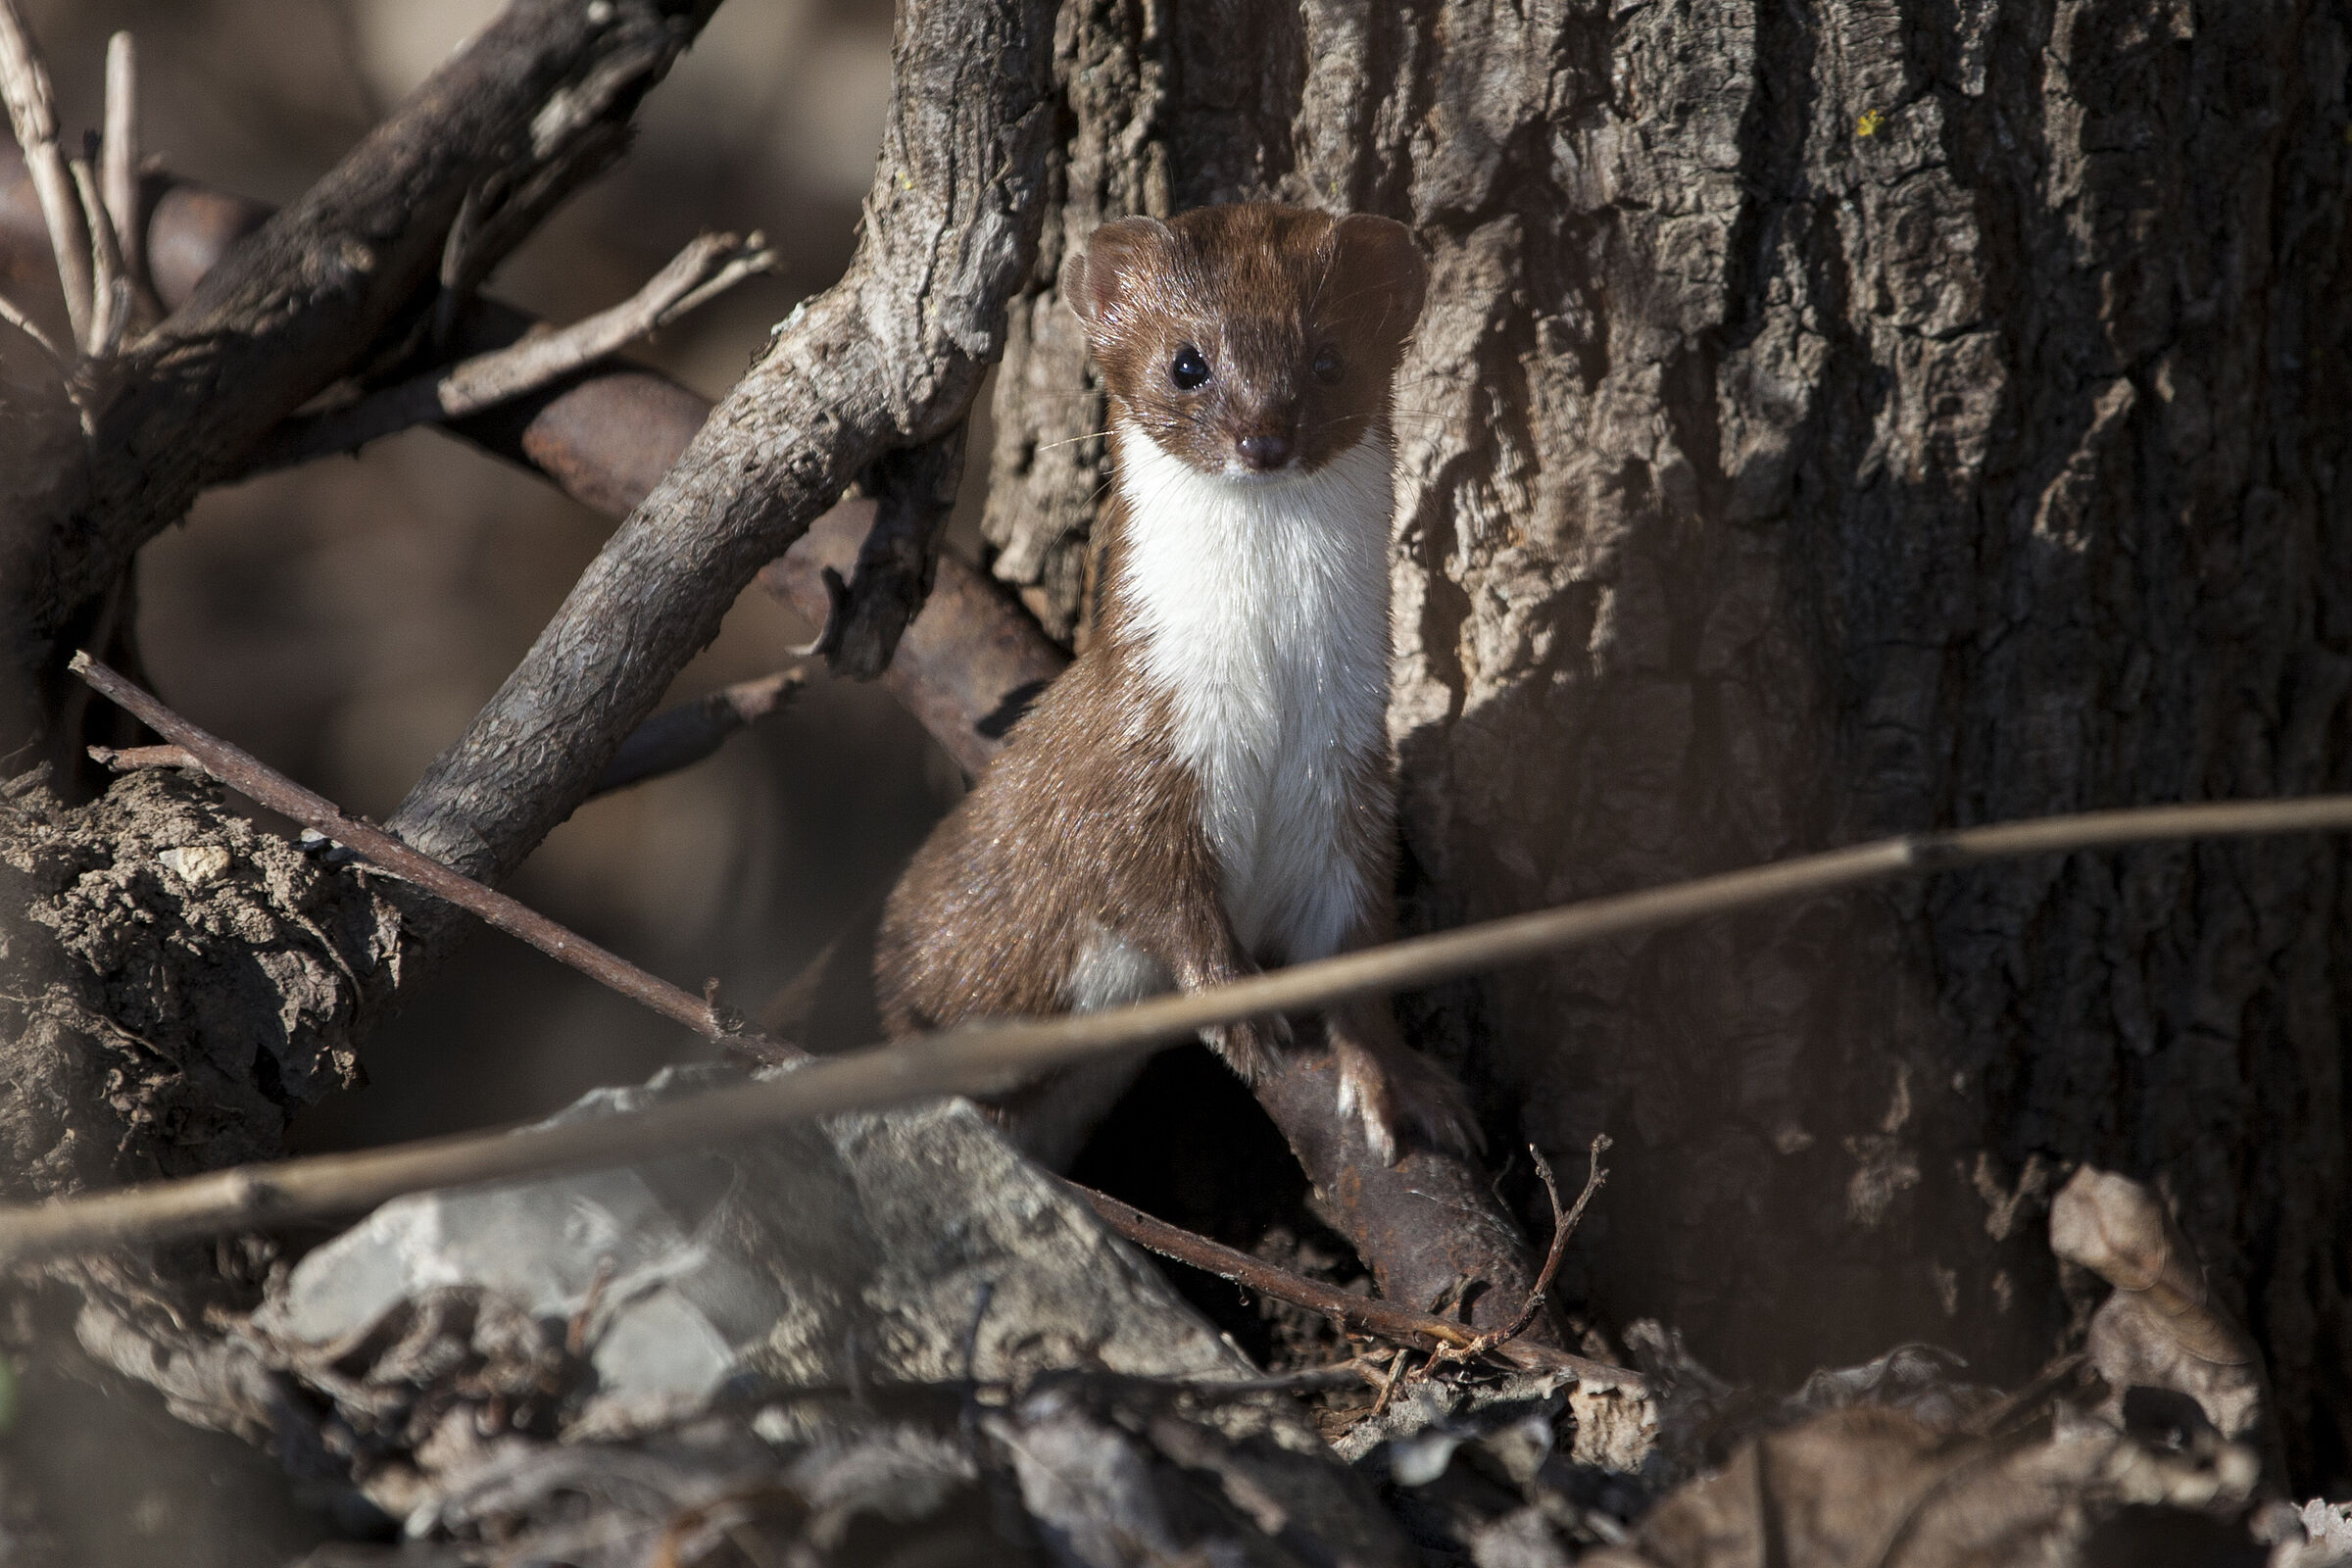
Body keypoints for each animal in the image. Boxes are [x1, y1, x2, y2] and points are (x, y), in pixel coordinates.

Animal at [879, 202, 1467, 1170]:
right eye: (1188, 362)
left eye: (1330, 357)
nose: (1263, 438)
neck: (1271, 693)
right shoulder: (1139, 748)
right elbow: (1151, 888)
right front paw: (1239, 1016)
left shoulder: (1351, 776)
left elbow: (1356, 940)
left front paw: (1398, 1081)